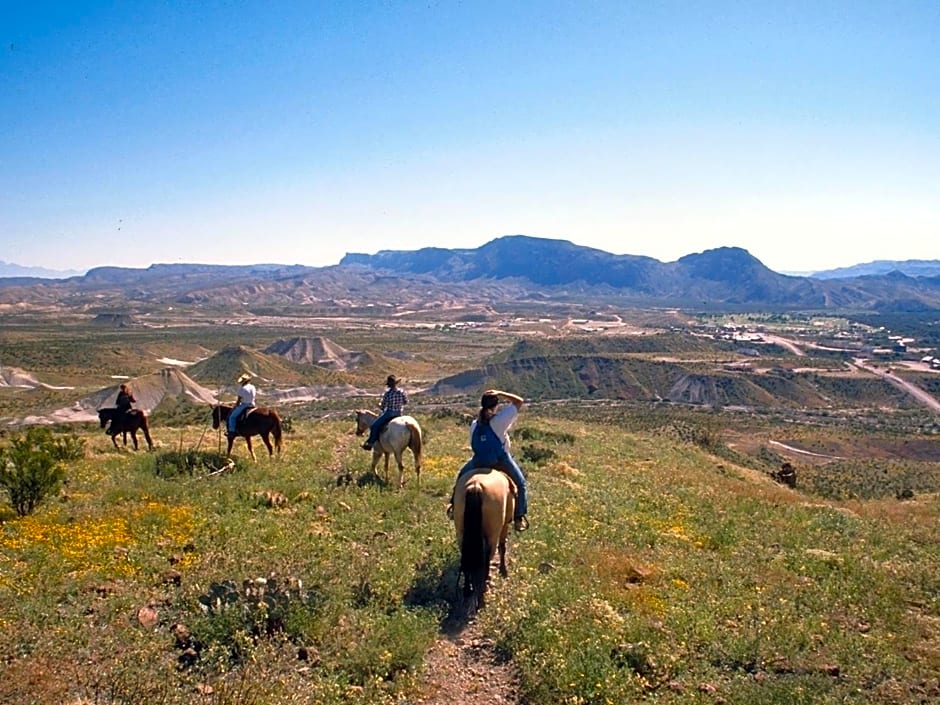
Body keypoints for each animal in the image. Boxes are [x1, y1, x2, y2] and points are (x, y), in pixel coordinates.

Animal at [454, 468, 516, 612]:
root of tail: (475, 485)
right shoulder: (505, 525)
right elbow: (503, 546)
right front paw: (503, 570)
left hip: (461, 534)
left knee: (468, 560)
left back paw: (468, 589)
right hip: (492, 535)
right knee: (487, 558)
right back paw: (483, 587)